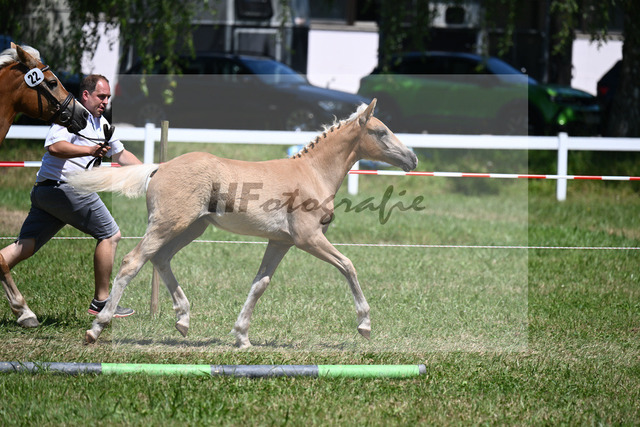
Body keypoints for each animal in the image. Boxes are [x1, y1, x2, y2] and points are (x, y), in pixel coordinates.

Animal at [68, 99, 418, 348]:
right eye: (381, 132)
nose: (412, 159)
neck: (313, 173)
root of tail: (160, 167)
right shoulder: (308, 238)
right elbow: (348, 266)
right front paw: (365, 325)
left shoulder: (281, 241)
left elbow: (260, 283)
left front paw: (242, 337)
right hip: (169, 224)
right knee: (133, 261)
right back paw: (97, 328)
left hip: (193, 228)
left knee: (161, 258)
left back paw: (183, 319)